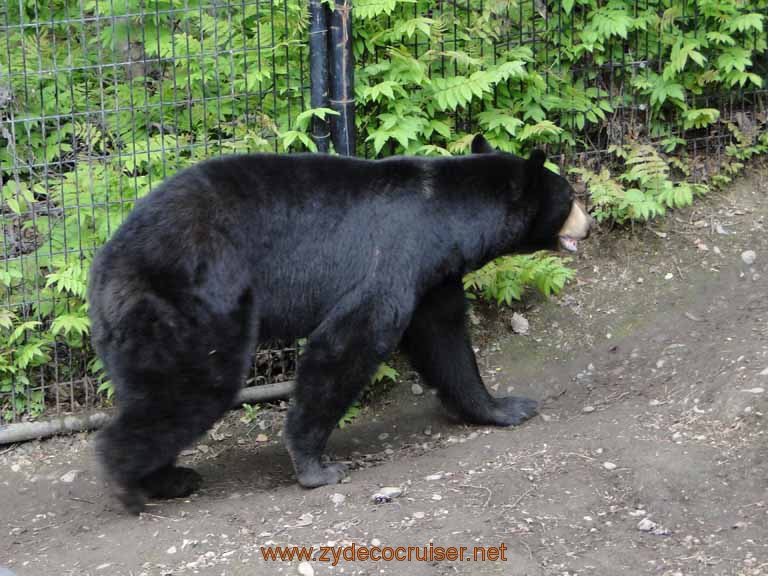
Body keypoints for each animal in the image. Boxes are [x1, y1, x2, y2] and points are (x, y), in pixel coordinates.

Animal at [88, 135, 592, 512]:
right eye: (568, 196)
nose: (587, 225)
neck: (446, 220)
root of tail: (105, 266)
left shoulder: (432, 277)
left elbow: (445, 341)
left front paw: (505, 407)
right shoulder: (392, 260)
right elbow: (350, 340)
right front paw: (317, 466)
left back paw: (169, 478)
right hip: (192, 296)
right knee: (195, 383)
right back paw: (132, 482)